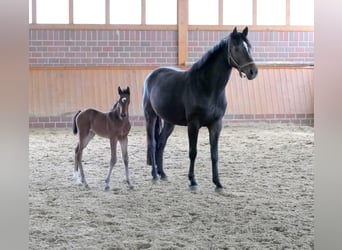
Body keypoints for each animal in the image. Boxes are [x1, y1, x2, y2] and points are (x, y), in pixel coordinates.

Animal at [142, 26, 256, 191]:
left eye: (249, 47)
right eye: (236, 48)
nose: (253, 71)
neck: (207, 87)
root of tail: (151, 75)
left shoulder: (216, 125)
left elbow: (214, 154)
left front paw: (218, 183)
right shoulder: (193, 125)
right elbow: (193, 152)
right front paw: (193, 181)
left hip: (169, 121)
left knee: (161, 143)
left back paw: (162, 174)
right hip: (150, 117)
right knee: (153, 143)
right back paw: (155, 175)